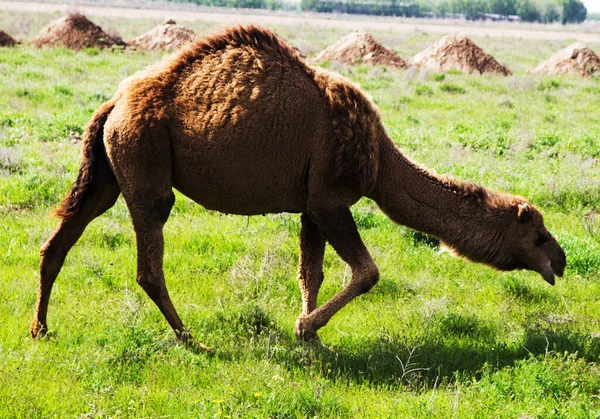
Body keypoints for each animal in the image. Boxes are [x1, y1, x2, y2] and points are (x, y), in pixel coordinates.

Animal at [30, 24, 568, 350]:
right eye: (538, 235)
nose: (561, 262)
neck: (379, 162)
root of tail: (113, 103)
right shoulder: (331, 197)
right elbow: (367, 272)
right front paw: (306, 327)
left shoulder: (310, 204)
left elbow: (313, 273)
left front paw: (311, 337)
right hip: (145, 163)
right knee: (148, 264)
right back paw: (192, 340)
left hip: (108, 171)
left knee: (61, 239)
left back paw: (40, 329)